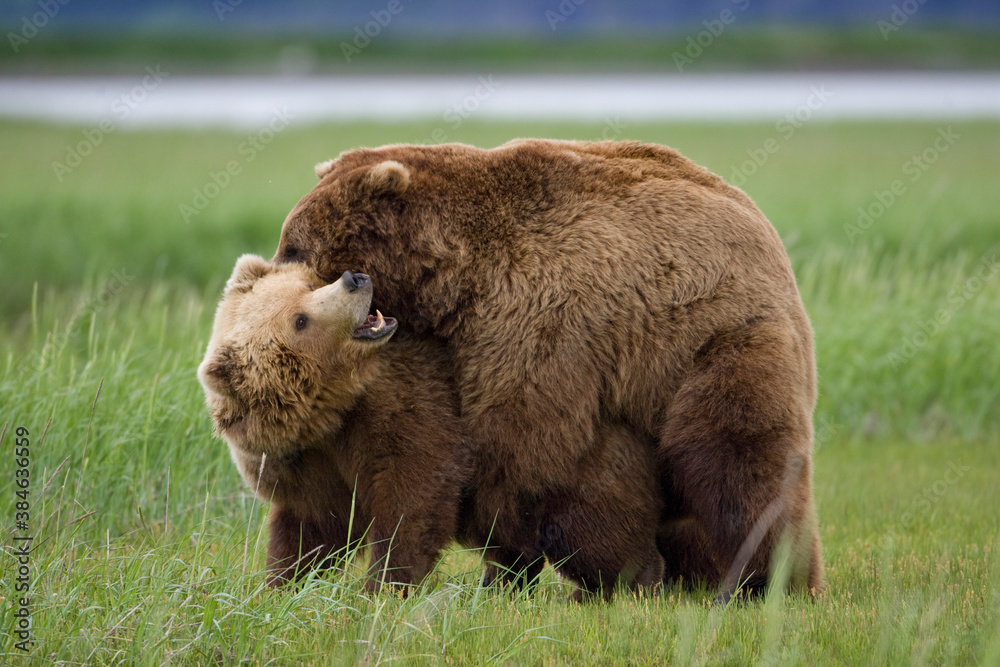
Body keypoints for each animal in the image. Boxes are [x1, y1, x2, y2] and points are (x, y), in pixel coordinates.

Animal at [198, 254, 665, 598]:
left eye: (309, 287)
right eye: (299, 319)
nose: (354, 278)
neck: (333, 410)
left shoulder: (407, 406)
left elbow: (414, 495)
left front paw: (383, 590)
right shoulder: (304, 463)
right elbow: (309, 528)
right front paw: (282, 587)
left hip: (566, 456)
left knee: (591, 530)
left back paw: (622, 588)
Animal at [271, 139, 824, 600]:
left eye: (295, 244)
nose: (275, 279)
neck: (453, 284)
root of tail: (762, 228)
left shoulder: (541, 323)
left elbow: (540, 462)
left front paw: (600, 577)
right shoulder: (470, 349)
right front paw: (506, 579)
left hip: (717, 340)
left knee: (738, 462)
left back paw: (776, 584)